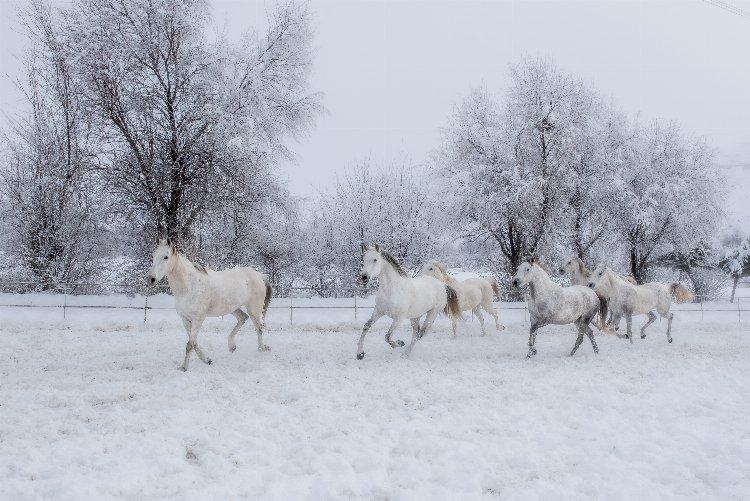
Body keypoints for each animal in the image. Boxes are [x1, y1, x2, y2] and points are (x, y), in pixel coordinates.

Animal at [147, 236, 274, 370]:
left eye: (166, 257)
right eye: (153, 255)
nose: (151, 279)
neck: (189, 286)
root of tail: (259, 275)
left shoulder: (198, 318)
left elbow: (189, 344)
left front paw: (184, 368)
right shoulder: (185, 319)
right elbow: (193, 342)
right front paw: (207, 360)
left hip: (254, 310)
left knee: (259, 328)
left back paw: (261, 348)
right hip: (233, 308)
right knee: (243, 318)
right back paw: (232, 346)